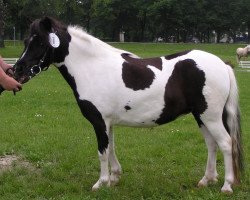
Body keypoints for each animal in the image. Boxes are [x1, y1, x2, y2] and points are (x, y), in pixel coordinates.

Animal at [12, 17, 243, 194]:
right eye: (25, 41)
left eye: (41, 43)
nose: (17, 70)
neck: (93, 67)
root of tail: (223, 64)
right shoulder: (108, 123)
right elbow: (111, 148)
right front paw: (114, 178)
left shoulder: (99, 122)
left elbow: (102, 151)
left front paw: (101, 183)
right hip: (201, 116)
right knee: (212, 145)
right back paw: (206, 180)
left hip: (210, 116)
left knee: (225, 143)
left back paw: (226, 186)